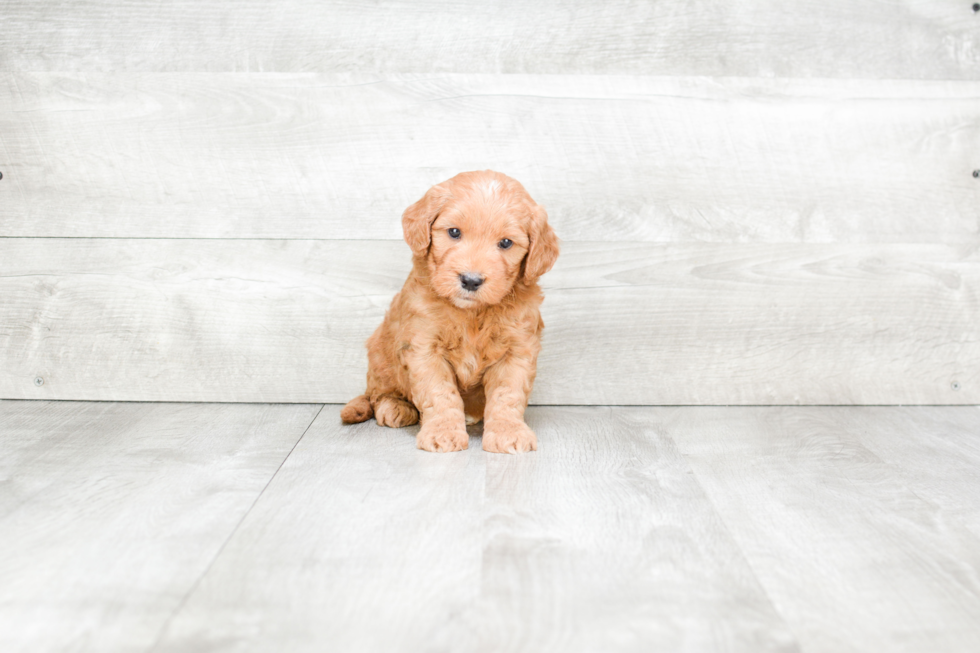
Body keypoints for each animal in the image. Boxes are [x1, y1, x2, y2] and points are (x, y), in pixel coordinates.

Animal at [340, 171, 560, 450]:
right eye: (454, 232)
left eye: (506, 243)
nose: (471, 280)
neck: (472, 313)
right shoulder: (424, 348)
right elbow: (441, 393)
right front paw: (442, 432)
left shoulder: (517, 350)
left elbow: (507, 394)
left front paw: (508, 432)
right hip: (380, 352)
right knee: (377, 393)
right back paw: (395, 407)